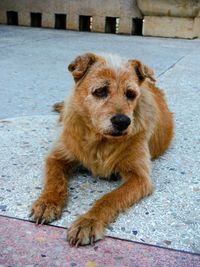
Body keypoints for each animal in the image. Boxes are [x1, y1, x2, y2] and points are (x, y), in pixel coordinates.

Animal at [31, 53, 173, 248]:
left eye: (131, 94)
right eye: (100, 91)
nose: (122, 122)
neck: (100, 140)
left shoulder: (140, 178)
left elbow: (110, 198)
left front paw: (89, 221)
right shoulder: (57, 156)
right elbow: (55, 181)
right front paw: (47, 202)